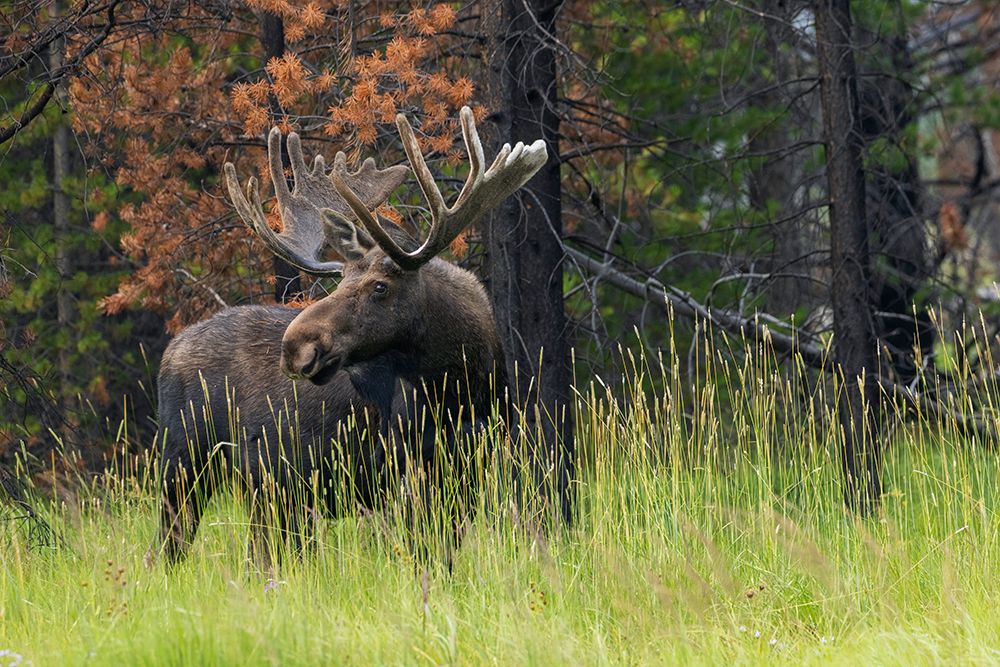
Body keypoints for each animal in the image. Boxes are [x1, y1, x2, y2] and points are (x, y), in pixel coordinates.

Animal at [155, 107, 546, 566]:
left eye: (379, 286)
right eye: (340, 279)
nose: (295, 347)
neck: (464, 387)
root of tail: (170, 350)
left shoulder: (462, 479)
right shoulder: (401, 474)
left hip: (272, 492)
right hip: (185, 463)